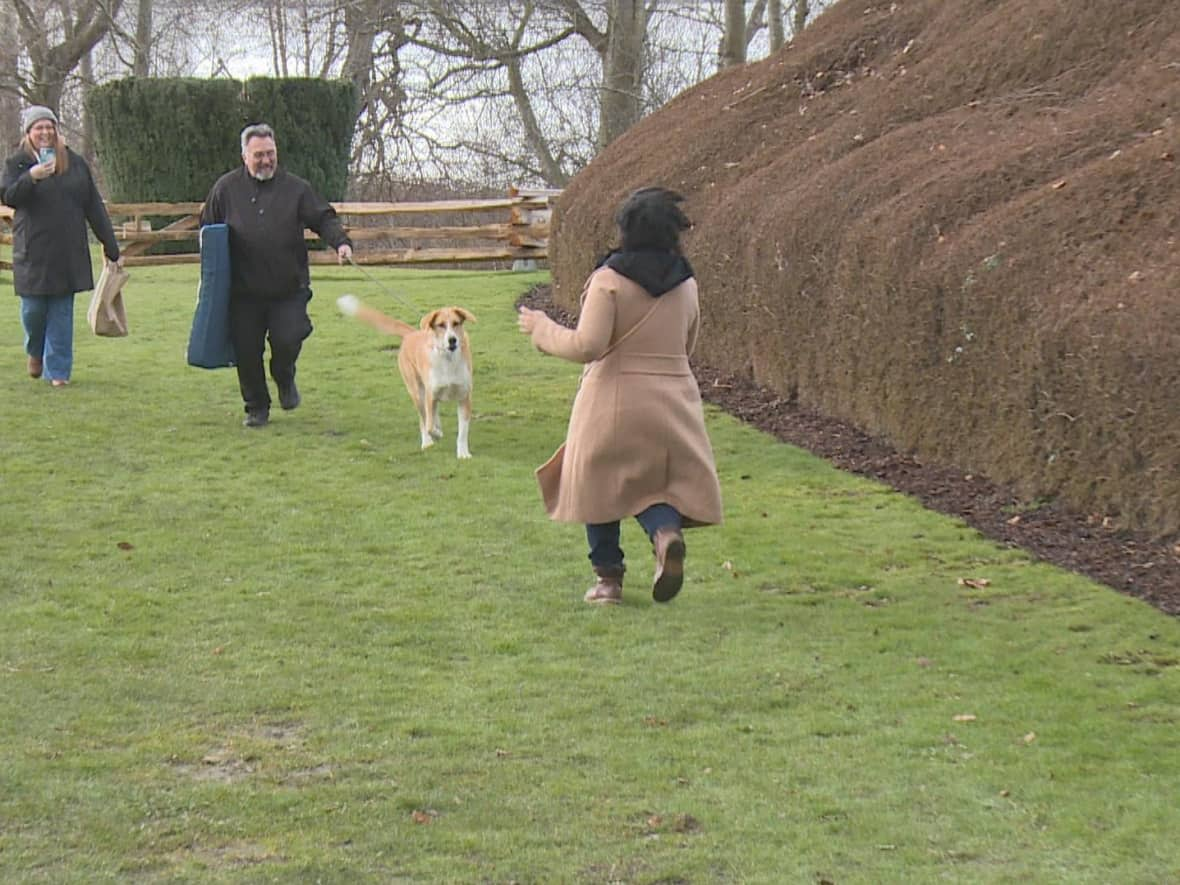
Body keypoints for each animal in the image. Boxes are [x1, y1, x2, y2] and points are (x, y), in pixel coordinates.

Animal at [337, 298, 474, 464]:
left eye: (456, 323)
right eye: (441, 325)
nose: (452, 340)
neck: (449, 360)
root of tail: (411, 333)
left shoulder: (464, 397)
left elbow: (462, 432)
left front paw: (463, 453)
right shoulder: (430, 394)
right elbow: (428, 425)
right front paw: (435, 433)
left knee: (433, 413)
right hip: (417, 392)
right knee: (424, 418)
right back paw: (427, 441)